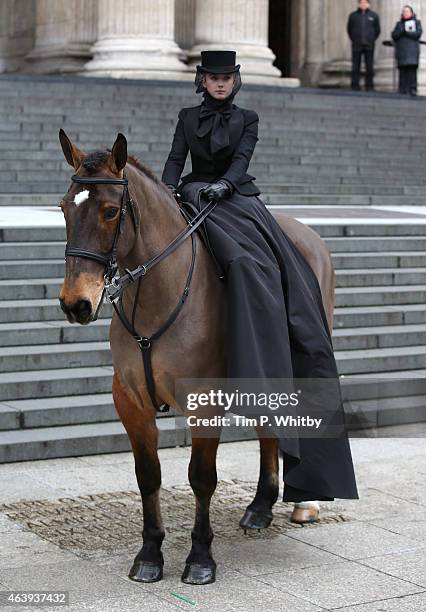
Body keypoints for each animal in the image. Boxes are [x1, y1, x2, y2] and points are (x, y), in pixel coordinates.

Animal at [58, 130, 334, 584]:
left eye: (111, 211)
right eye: (64, 208)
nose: (75, 303)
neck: (158, 294)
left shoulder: (205, 401)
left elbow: (202, 478)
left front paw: (200, 557)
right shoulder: (130, 402)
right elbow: (148, 476)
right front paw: (150, 552)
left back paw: (305, 502)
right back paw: (261, 505)